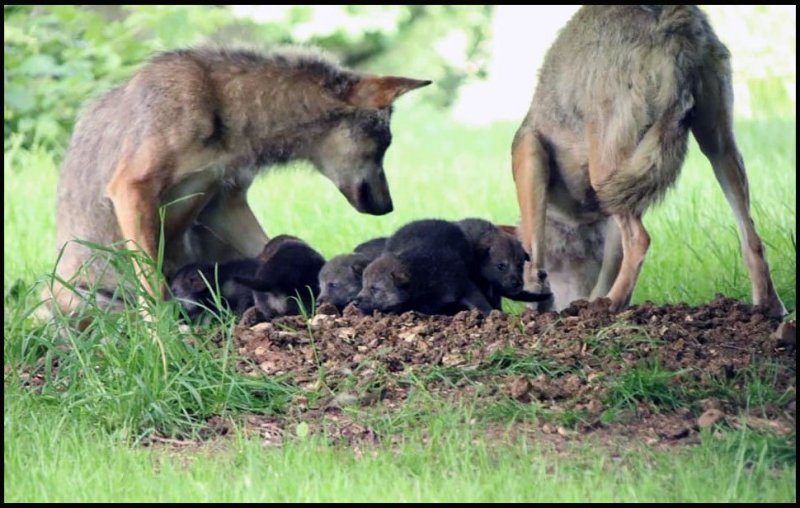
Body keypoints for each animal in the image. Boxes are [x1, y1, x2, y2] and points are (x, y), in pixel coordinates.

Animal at [47, 45, 432, 316]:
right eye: (385, 145)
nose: (389, 207)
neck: (223, 109)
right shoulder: (131, 189)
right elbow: (153, 286)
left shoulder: (221, 205)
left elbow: (270, 247)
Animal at [512, 5, 788, 318]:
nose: (562, 306)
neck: (580, 218)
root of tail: (675, 17)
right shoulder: (616, 212)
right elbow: (611, 266)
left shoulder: (528, 155)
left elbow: (534, 249)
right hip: (719, 149)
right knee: (752, 238)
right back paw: (769, 307)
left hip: (604, 173)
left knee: (640, 240)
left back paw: (609, 305)